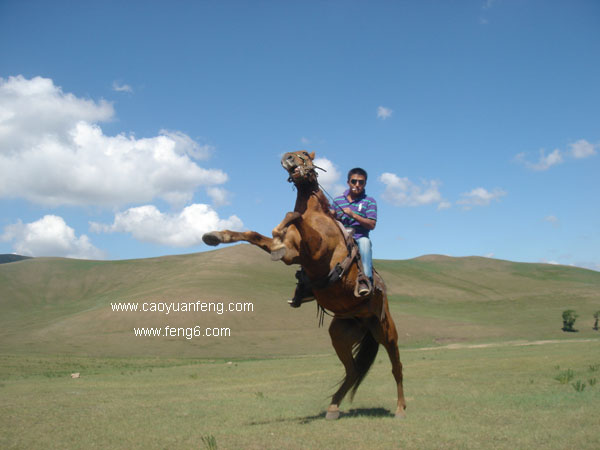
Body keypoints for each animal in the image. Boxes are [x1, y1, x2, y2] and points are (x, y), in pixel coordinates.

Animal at [203, 150, 408, 418]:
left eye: (305, 155)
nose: (287, 157)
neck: (316, 214)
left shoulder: (317, 251)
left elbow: (294, 216)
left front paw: (278, 229)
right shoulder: (292, 254)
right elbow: (253, 235)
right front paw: (215, 236)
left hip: (387, 333)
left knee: (397, 367)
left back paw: (400, 408)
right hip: (340, 335)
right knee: (352, 370)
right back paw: (333, 407)